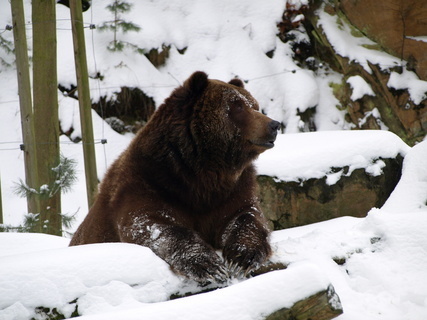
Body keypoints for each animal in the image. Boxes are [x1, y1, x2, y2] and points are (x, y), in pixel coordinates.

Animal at [70, 72, 280, 282]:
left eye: (254, 105)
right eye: (237, 106)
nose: (274, 124)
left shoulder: (231, 190)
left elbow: (245, 216)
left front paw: (242, 256)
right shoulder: (149, 182)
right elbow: (154, 224)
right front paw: (208, 265)